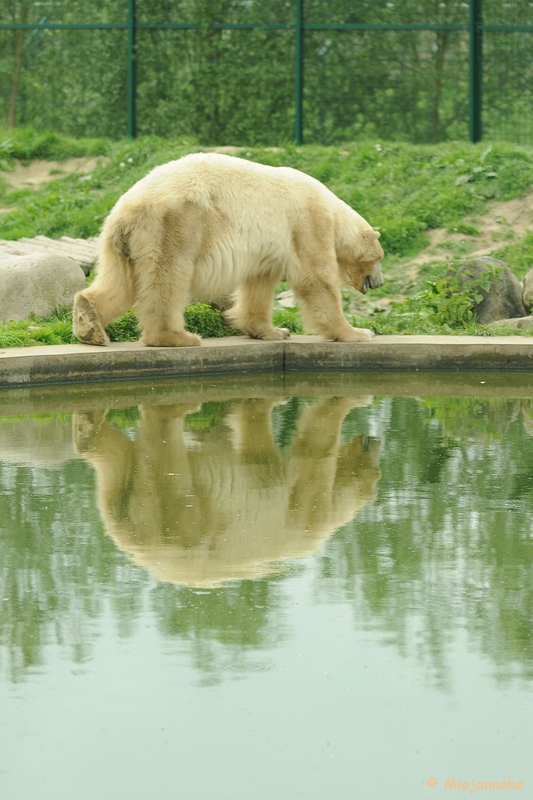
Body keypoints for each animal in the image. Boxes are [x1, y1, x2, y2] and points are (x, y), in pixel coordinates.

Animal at [74, 153, 382, 346]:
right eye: (379, 257)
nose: (378, 282)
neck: (331, 207)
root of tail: (126, 211)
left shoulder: (267, 249)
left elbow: (259, 284)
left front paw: (274, 331)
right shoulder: (306, 221)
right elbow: (316, 278)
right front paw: (358, 332)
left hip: (122, 243)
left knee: (121, 281)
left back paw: (89, 323)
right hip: (175, 224)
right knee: (168, 278)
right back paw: (177, 337)